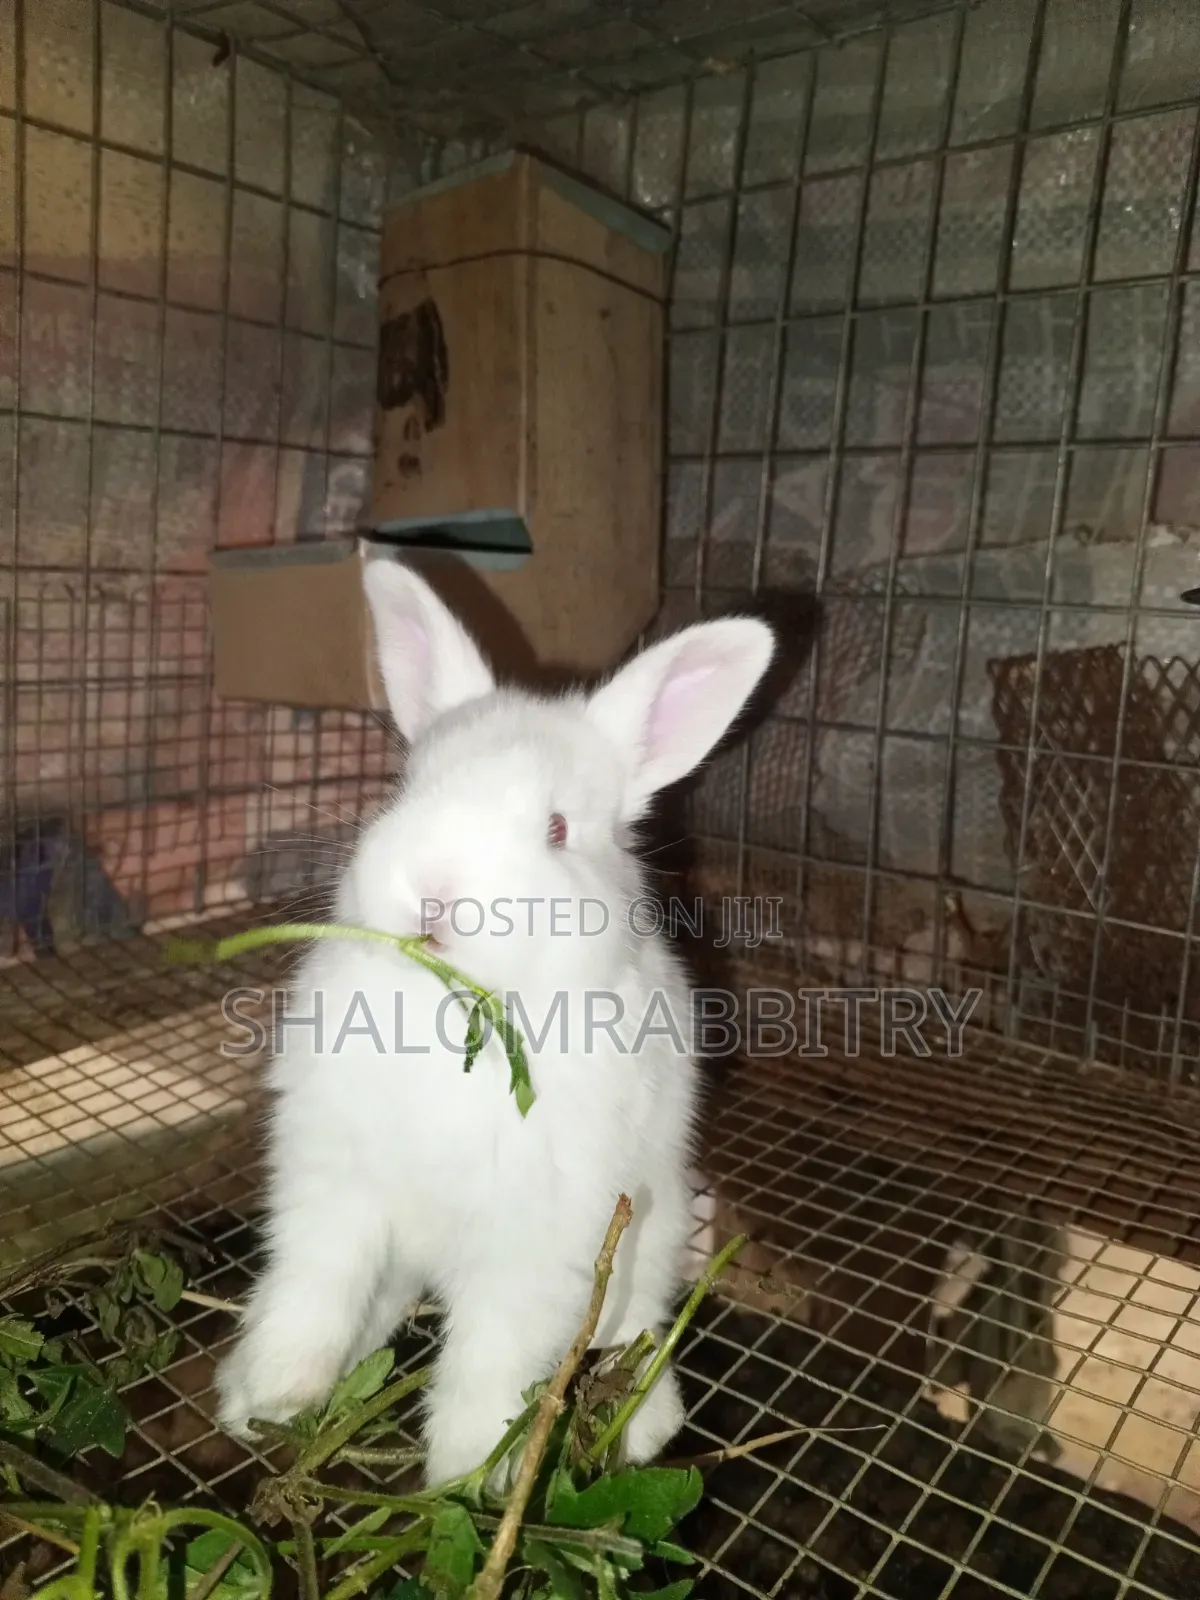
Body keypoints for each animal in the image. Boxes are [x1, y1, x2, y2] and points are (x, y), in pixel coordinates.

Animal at [214, 559, 775, 1487]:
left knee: (637, 1323)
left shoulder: (540, 1234)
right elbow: (313, 1287)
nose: (434, 891)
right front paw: (274, 1393)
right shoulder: (333, 1186)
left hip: (647, 1236)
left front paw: (468, 1479)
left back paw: (647, 1422)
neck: (454, 1017)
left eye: (556, 828)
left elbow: (492, 1356)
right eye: (407, 788)